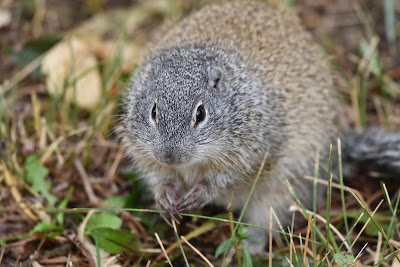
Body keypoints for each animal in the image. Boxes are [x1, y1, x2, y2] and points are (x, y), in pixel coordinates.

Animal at [120, 1, 400, 253]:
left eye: (200, 113)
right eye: (153, 111)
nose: (169, 157)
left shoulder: (255, 156)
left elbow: (227, 180)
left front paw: (201, 192)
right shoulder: (144, 152)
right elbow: (156, 175)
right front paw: (165, 195)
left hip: (280, 195)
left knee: (263, 225)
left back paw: (244, 249)